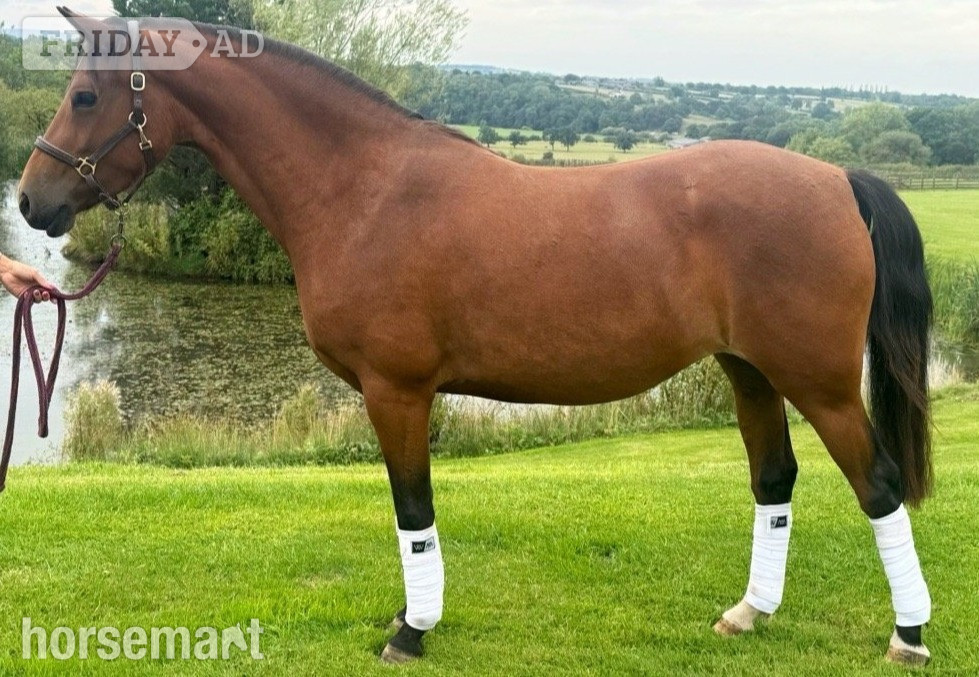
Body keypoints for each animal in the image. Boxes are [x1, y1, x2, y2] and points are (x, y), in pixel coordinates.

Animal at [18, 9, 935, 666]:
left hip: (819, 382)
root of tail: (835, 177)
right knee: (774, 480)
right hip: (749, 371)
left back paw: (908, 635)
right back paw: (749, 612)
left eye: (88, 94)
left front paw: (410, 630)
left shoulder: (395, 391)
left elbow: (412, 510)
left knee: (879, 486)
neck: (363, 188)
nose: (31, 200)